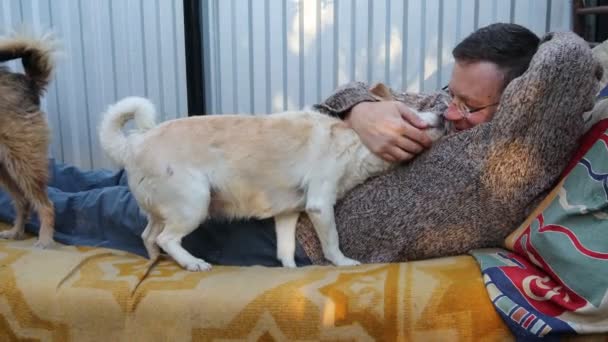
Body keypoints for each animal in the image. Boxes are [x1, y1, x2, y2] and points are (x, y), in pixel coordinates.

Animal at [0, 31, 57, 246]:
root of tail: (27, 82)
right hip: (5, 166)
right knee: (23, 201)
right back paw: (16, 231)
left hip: (22, 159)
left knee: (46, 204)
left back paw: (45, 239)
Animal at [97, 95, 444, 272]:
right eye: (411, 112)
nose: (443, 114)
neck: (353, 142)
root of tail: (134, 144)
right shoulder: (320, 206)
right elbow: (332, 242)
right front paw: (343, 262)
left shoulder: (287, 215)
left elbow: (285, 249)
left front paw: (290, 270)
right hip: (195, 203)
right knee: (168, 238)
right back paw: (192, 262)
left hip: (165, 209)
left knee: (149, 235)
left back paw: (155, 260)